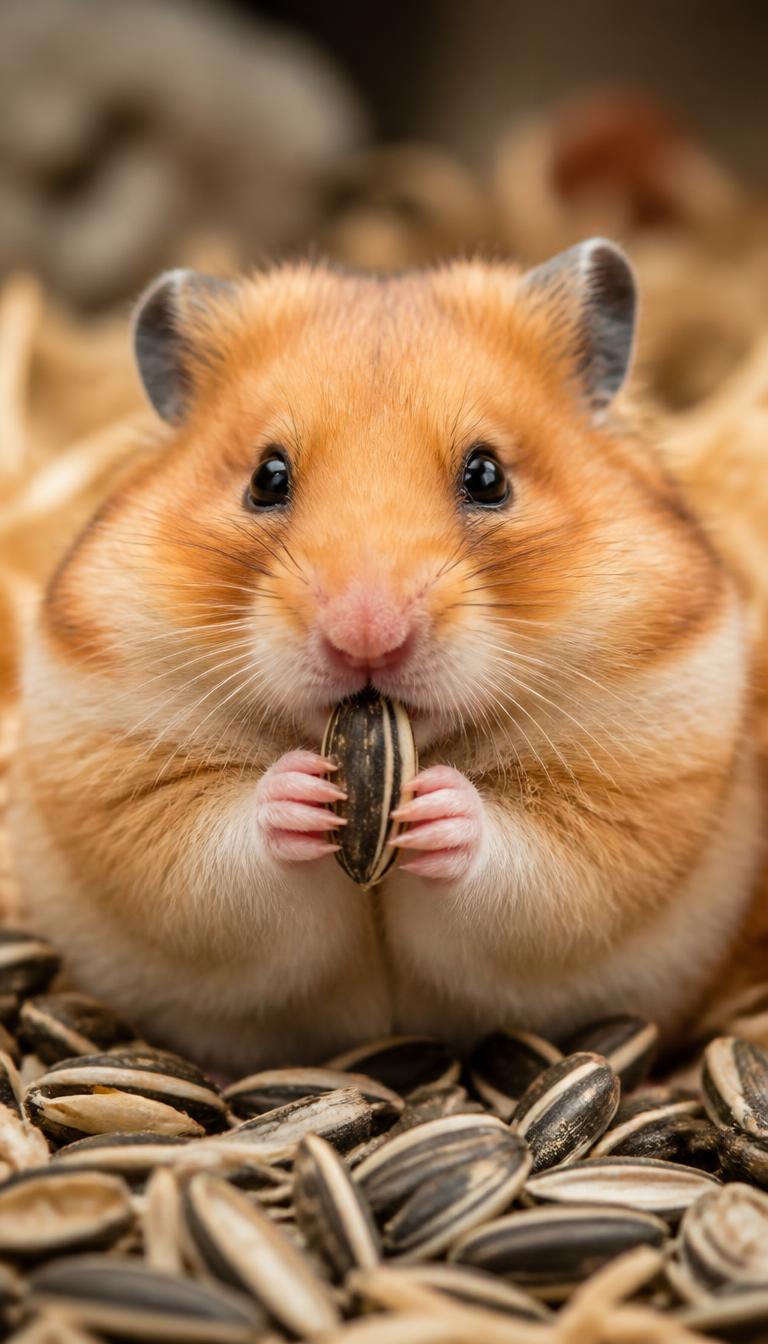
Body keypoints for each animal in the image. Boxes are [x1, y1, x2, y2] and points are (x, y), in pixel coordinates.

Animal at [11, 240, 765, 1072]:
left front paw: (437, 807)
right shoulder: (120, 770)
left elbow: (532, 869)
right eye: (266, 477)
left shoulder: (631, 783)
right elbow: (218, 851)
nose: (366, 635)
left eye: (488, 475)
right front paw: (305, 792)